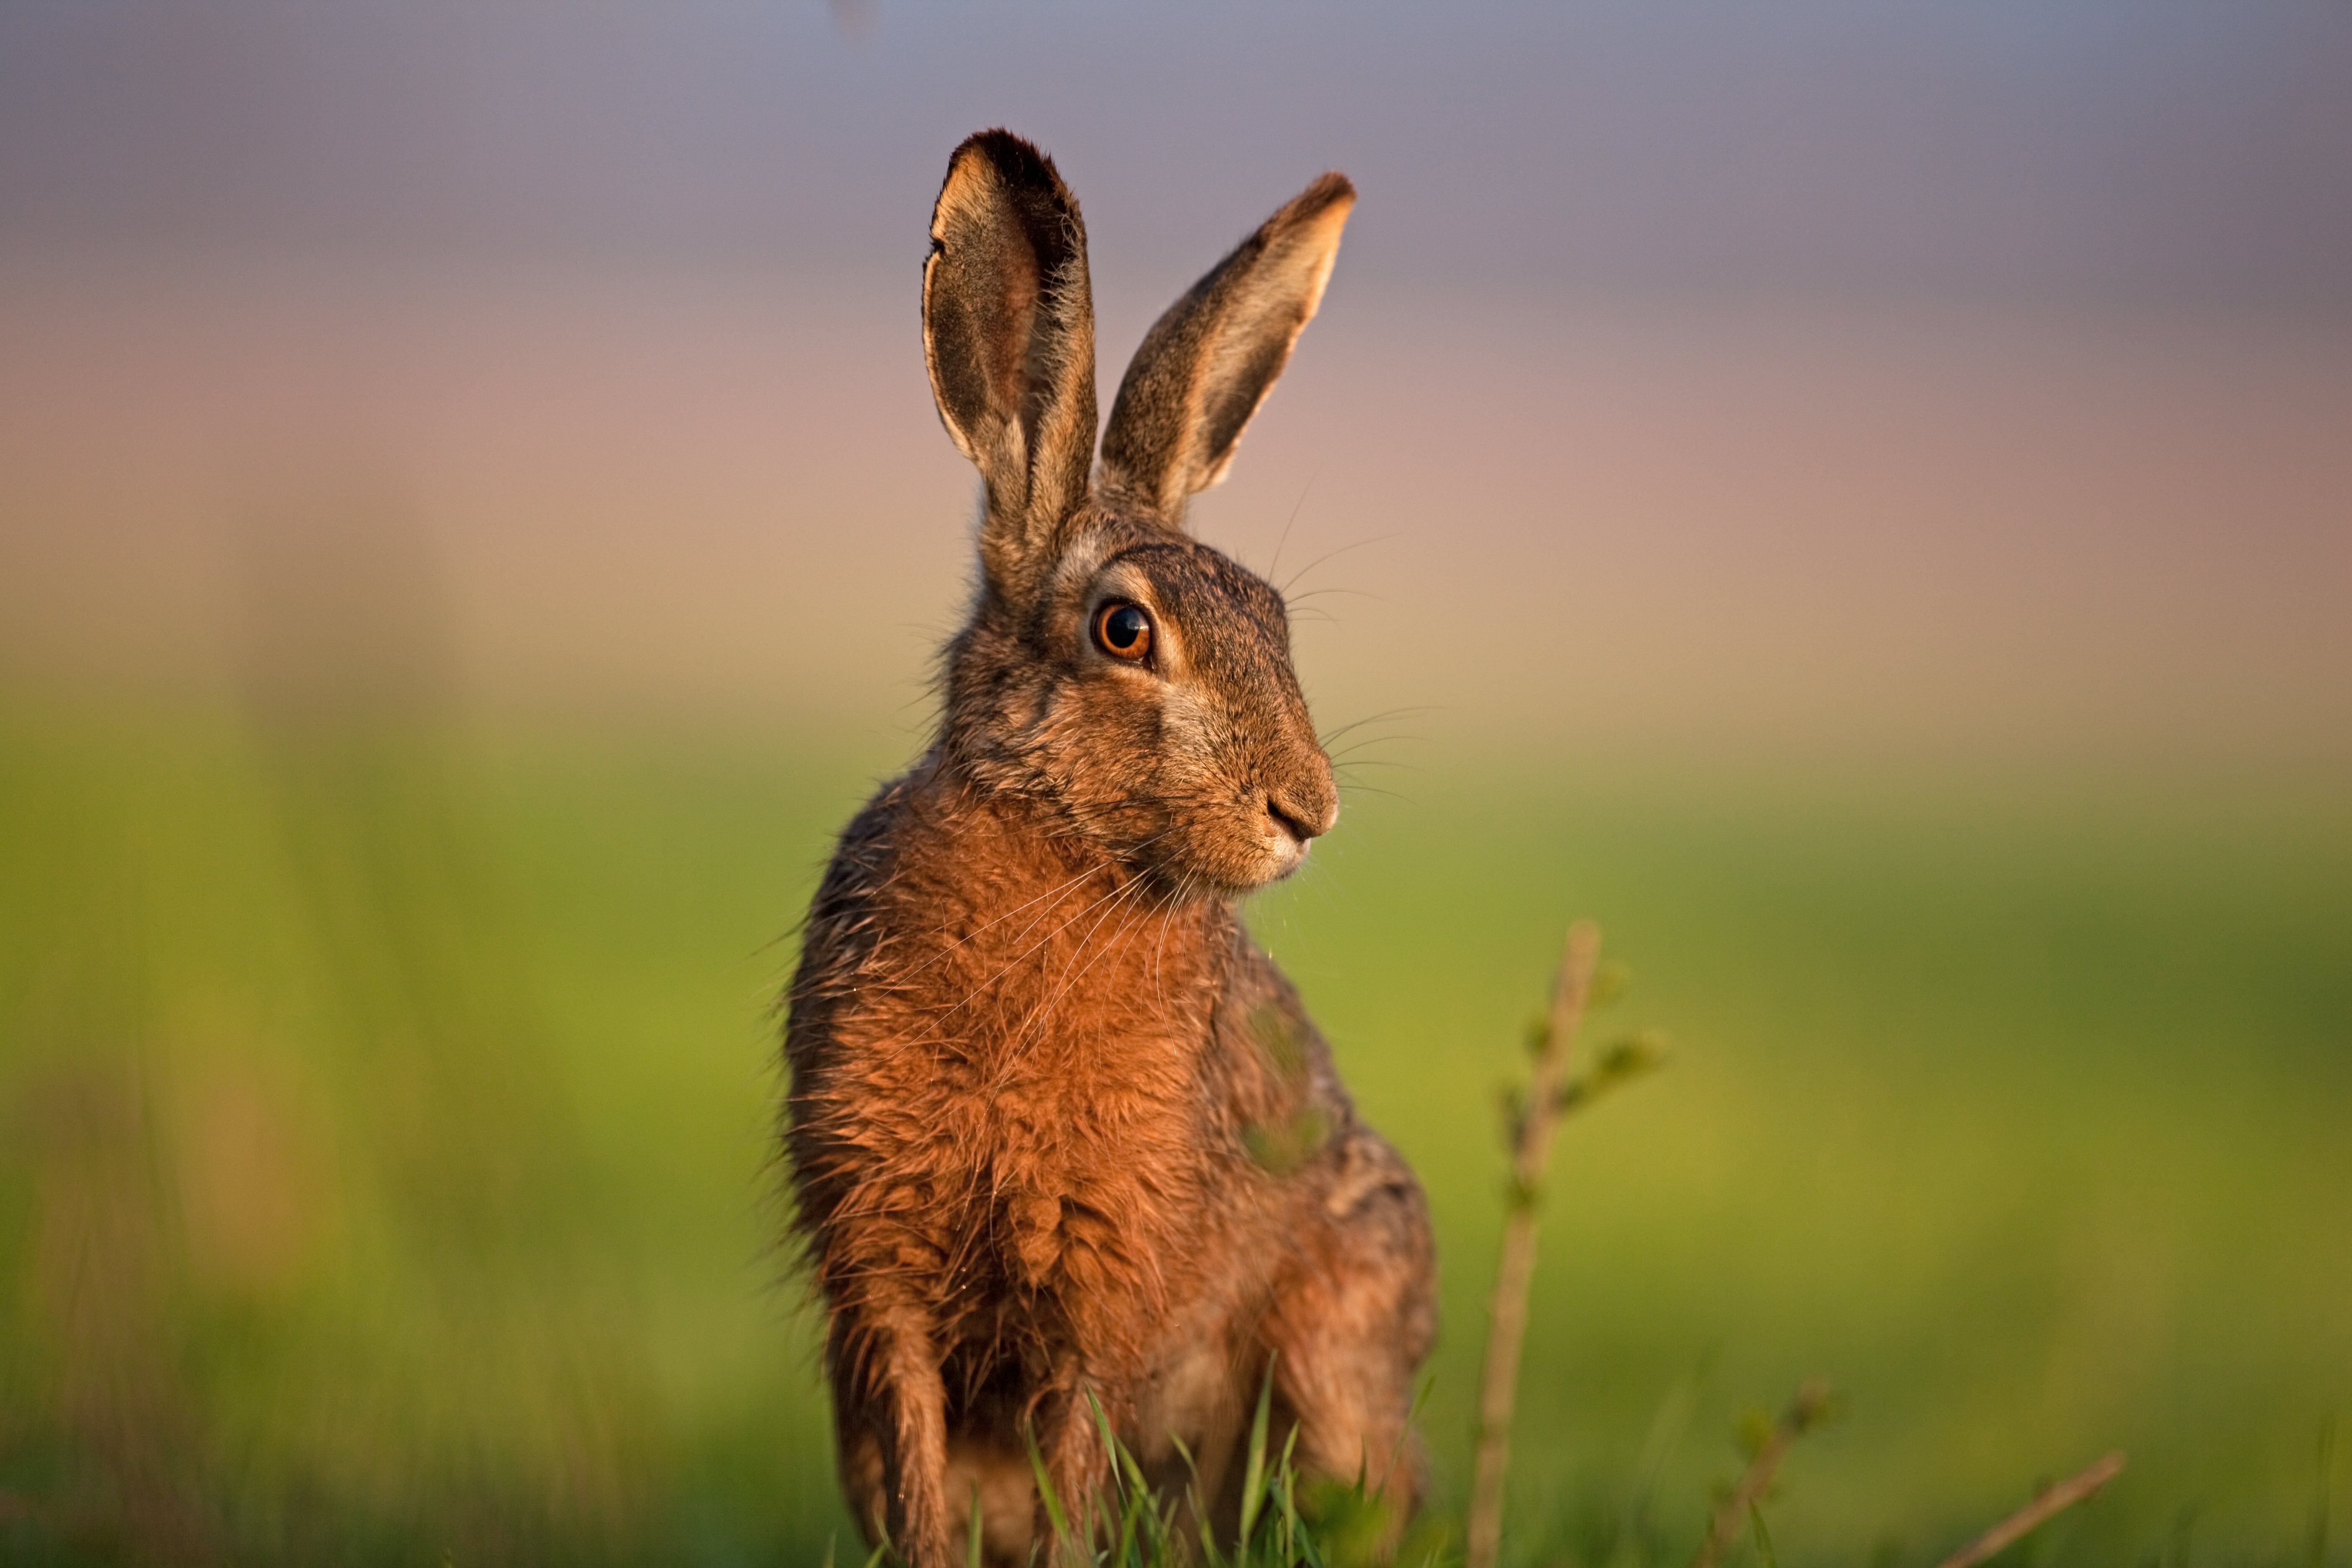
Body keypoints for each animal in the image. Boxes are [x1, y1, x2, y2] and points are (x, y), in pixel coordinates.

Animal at [781, 129, 1435, 1568]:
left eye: (1274, 616)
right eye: (1124, 632)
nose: (1307, 811)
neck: (1057, 864)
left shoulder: (1103, 1293)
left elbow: (1082, 1472)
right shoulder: (882, 1288)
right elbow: (918, 1481)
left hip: (1334, 1377)